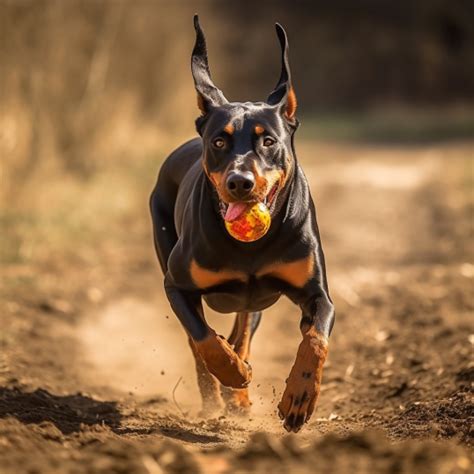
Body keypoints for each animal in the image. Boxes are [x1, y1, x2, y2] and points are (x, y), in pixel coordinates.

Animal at [150, 15, 336, 434]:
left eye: (268, 141)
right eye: (219, 142)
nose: (240, 182)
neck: (251, 247)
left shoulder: (316, 292)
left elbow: (315, 340)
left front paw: (299, 398)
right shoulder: (176, 285)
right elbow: (204, 340)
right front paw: (232, 374)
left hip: (254, 301)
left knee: (243, 332)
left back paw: (240, 395)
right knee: (203, 343)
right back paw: (221, 393)